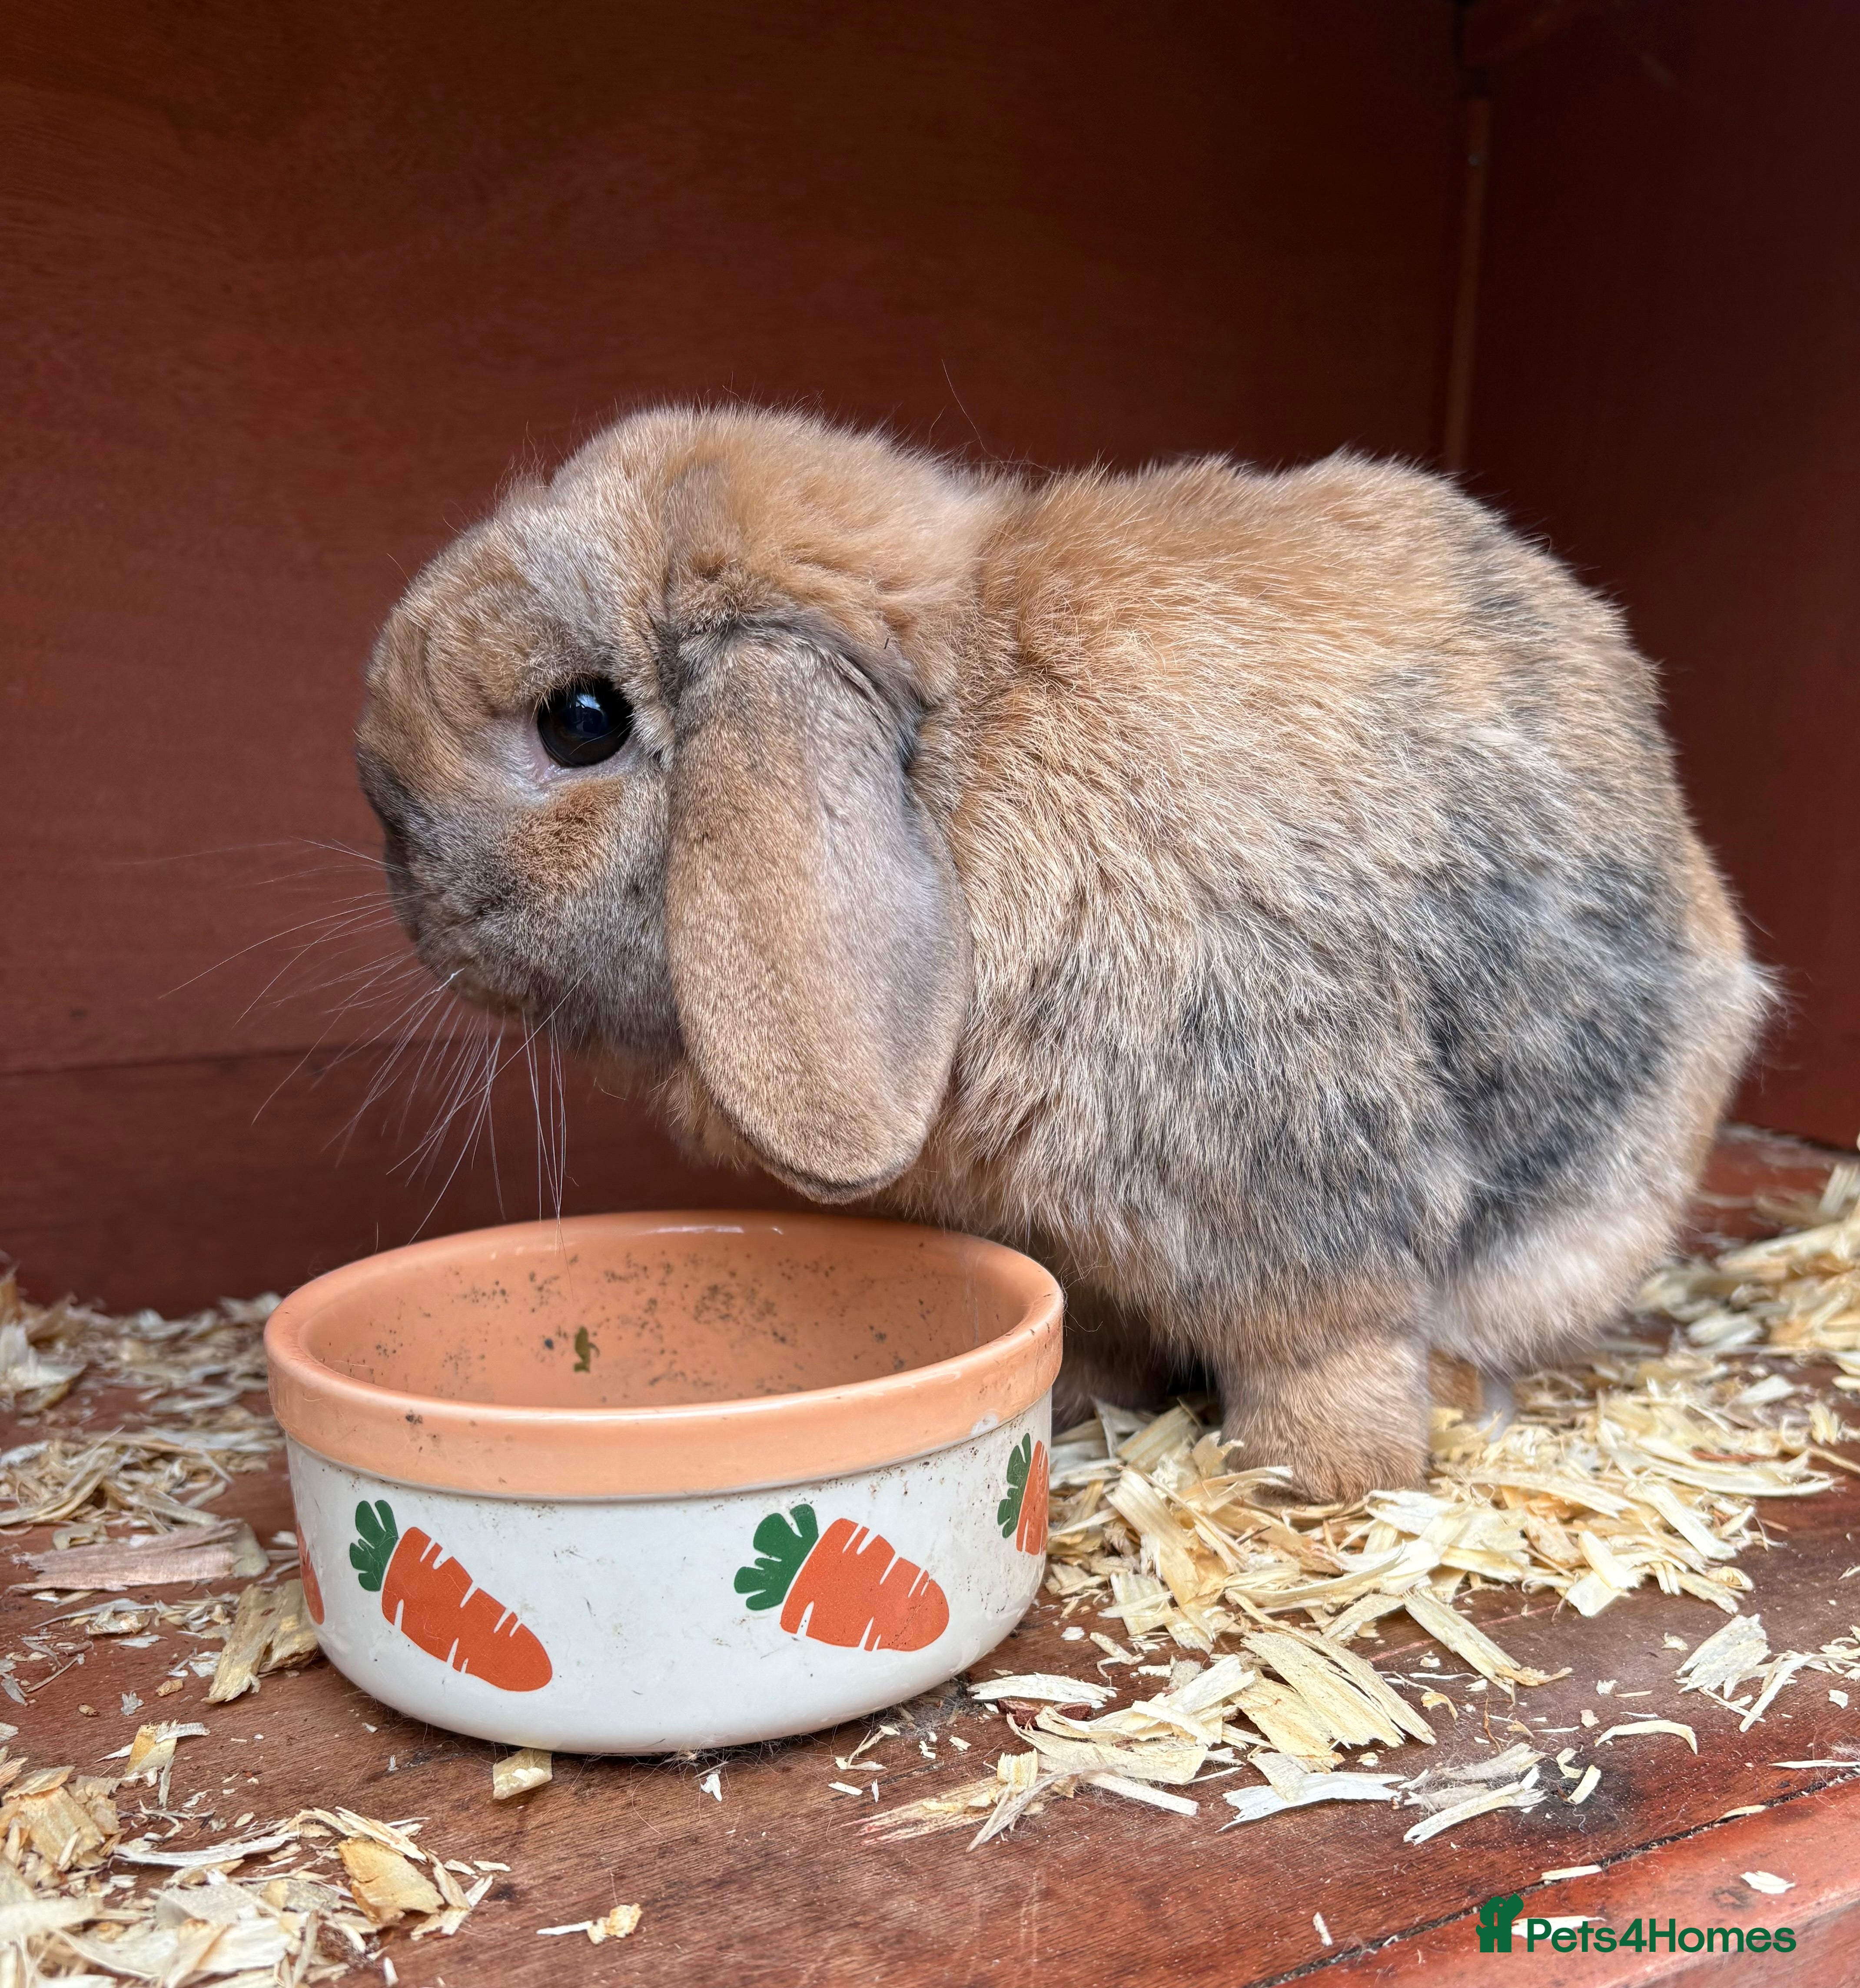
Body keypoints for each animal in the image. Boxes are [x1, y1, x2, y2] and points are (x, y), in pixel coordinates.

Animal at [355, 405, 1769, 1503]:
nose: (391, 849)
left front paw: (1317, 1476)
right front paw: (1085, 1403)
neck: (962, 768)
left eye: (581, 720)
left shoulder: (1296, 1166)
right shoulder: (1068, 1238)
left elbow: (1328, 1340)